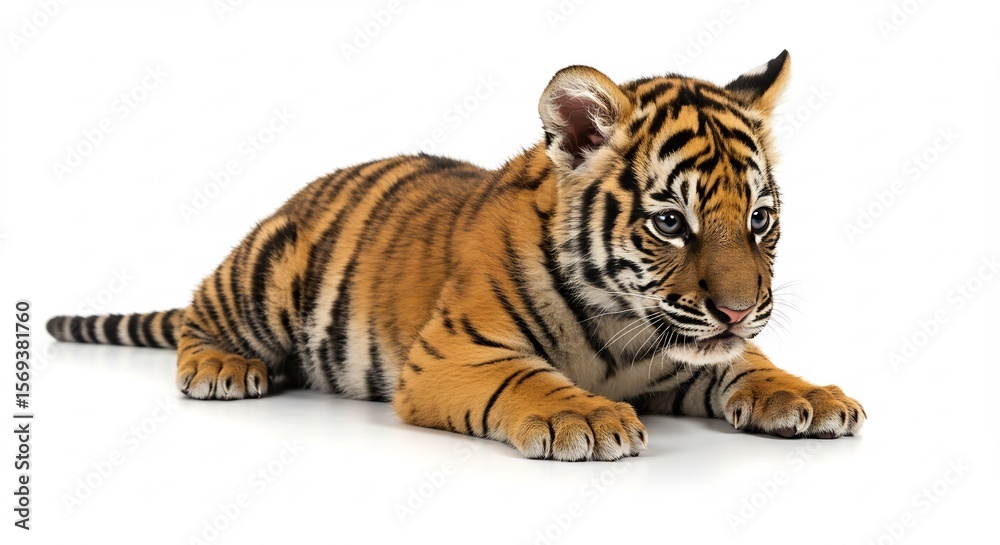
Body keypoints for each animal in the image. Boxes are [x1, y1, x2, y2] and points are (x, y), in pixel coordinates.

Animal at [47, 50, 865, 461]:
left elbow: (747, 364)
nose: (739, 309)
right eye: (670, 222)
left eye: (759, 218)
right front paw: (588, 418)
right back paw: (224, 367)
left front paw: (810, 396)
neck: (623, 326)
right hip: (263, 277)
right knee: (196, 317)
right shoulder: (456, 354)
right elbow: (529, 380)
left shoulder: (690, 352)